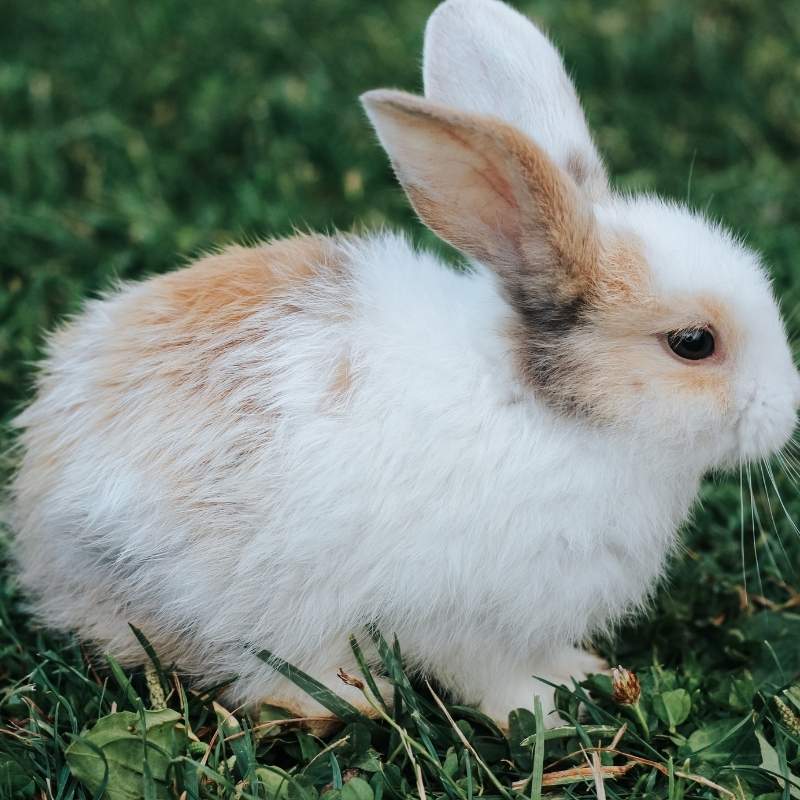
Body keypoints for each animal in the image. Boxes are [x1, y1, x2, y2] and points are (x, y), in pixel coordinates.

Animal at [10, 0, 800, 729]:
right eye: (693, 343)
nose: (787, 412)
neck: (549, 409)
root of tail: (35, 509)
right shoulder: (467, 619)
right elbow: (492, 677)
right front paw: (542, 715)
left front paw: (582, 673)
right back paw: (356, 698)